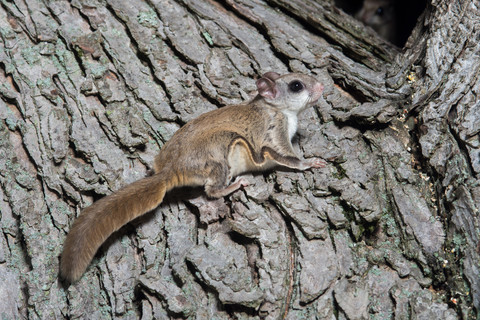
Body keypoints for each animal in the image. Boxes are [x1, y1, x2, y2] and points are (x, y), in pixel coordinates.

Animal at [61, 72, 326, 282]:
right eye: (296, 85)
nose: (322, 87)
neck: (276, 108)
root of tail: (171, 170)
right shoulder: (273, 134)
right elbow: (288, 158)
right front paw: (310, 162)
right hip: (220, 153)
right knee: (211, 190)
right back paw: (234, 185)